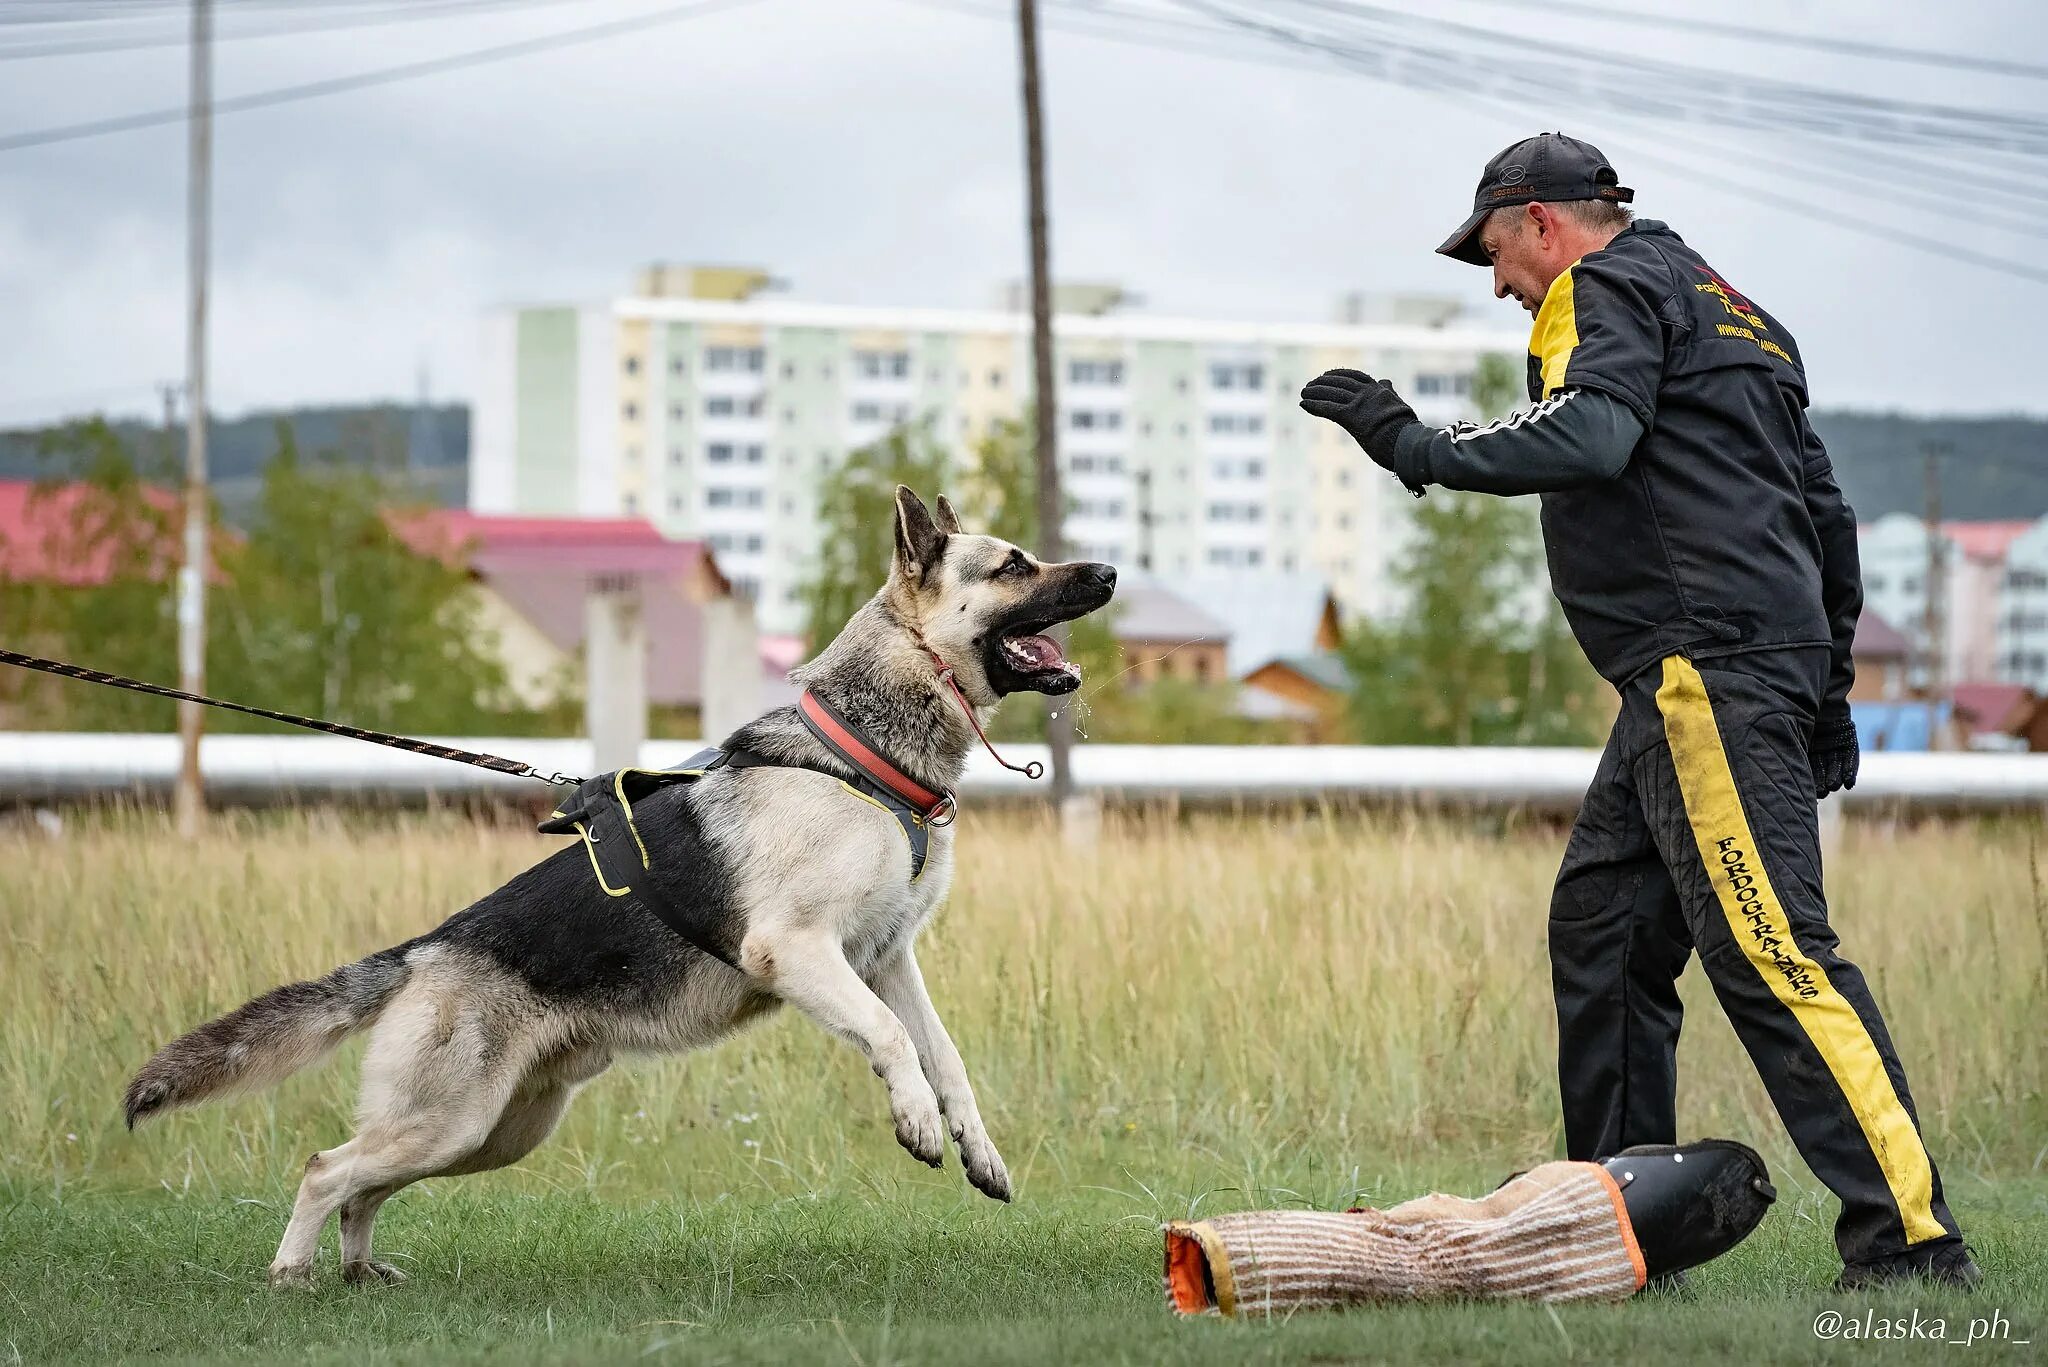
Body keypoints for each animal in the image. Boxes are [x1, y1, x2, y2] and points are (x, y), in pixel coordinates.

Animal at [123, 485, 1122, 1287]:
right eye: (1014, 565)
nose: (1112, 569)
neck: (863, 754)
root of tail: (424, 951)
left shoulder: (884, 959)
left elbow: (943, 1055)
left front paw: (976, 1147)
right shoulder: (803, 953)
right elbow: (889, 1039)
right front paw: (914, 1121)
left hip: (490, 1132)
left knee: (365, 1184)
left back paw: (361, 1271)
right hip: (452, 1120)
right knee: (326, 1168)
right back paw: (293, 1273)